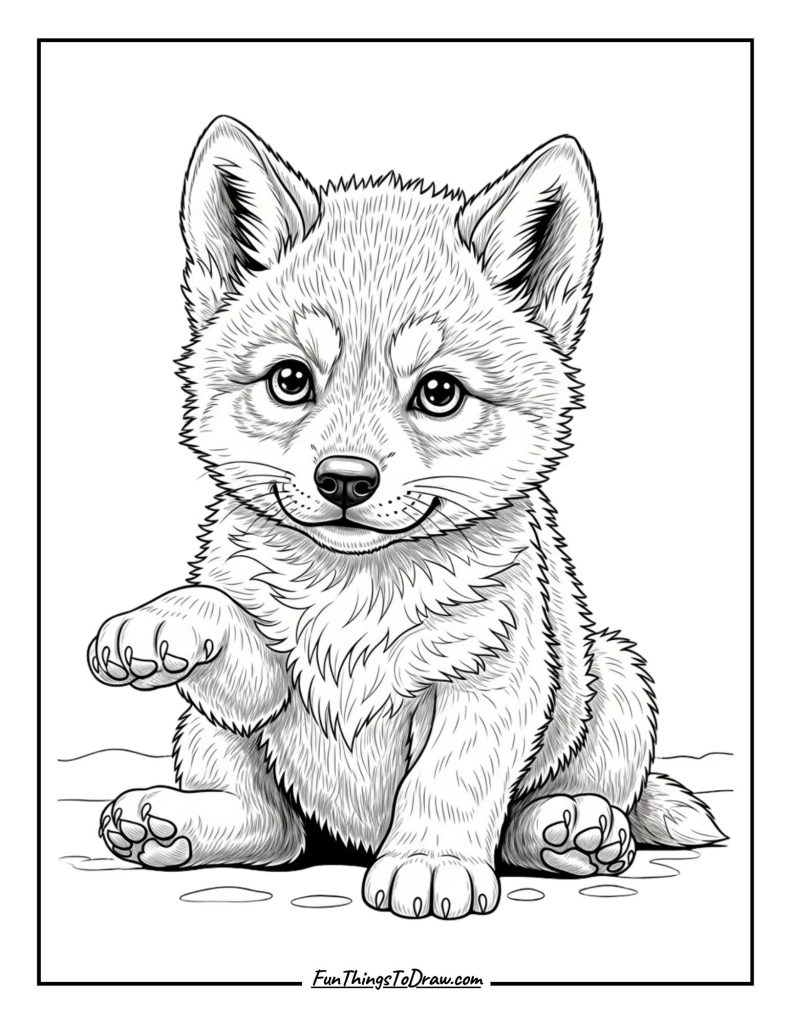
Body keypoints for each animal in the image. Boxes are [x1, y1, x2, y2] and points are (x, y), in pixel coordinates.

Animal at [88, 115, 724, 918]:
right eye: (291, 380)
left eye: (439, 392)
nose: (344, 480)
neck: (355, 591)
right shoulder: (265, 689)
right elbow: (221, 617)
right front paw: (158, 625)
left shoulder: (491, 686)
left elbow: (448, 783)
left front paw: (429, 863)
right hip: (211, 745)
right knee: (272, 829)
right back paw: (171, 823)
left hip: (614, 673)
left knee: (549, 811)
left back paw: (571, 832)